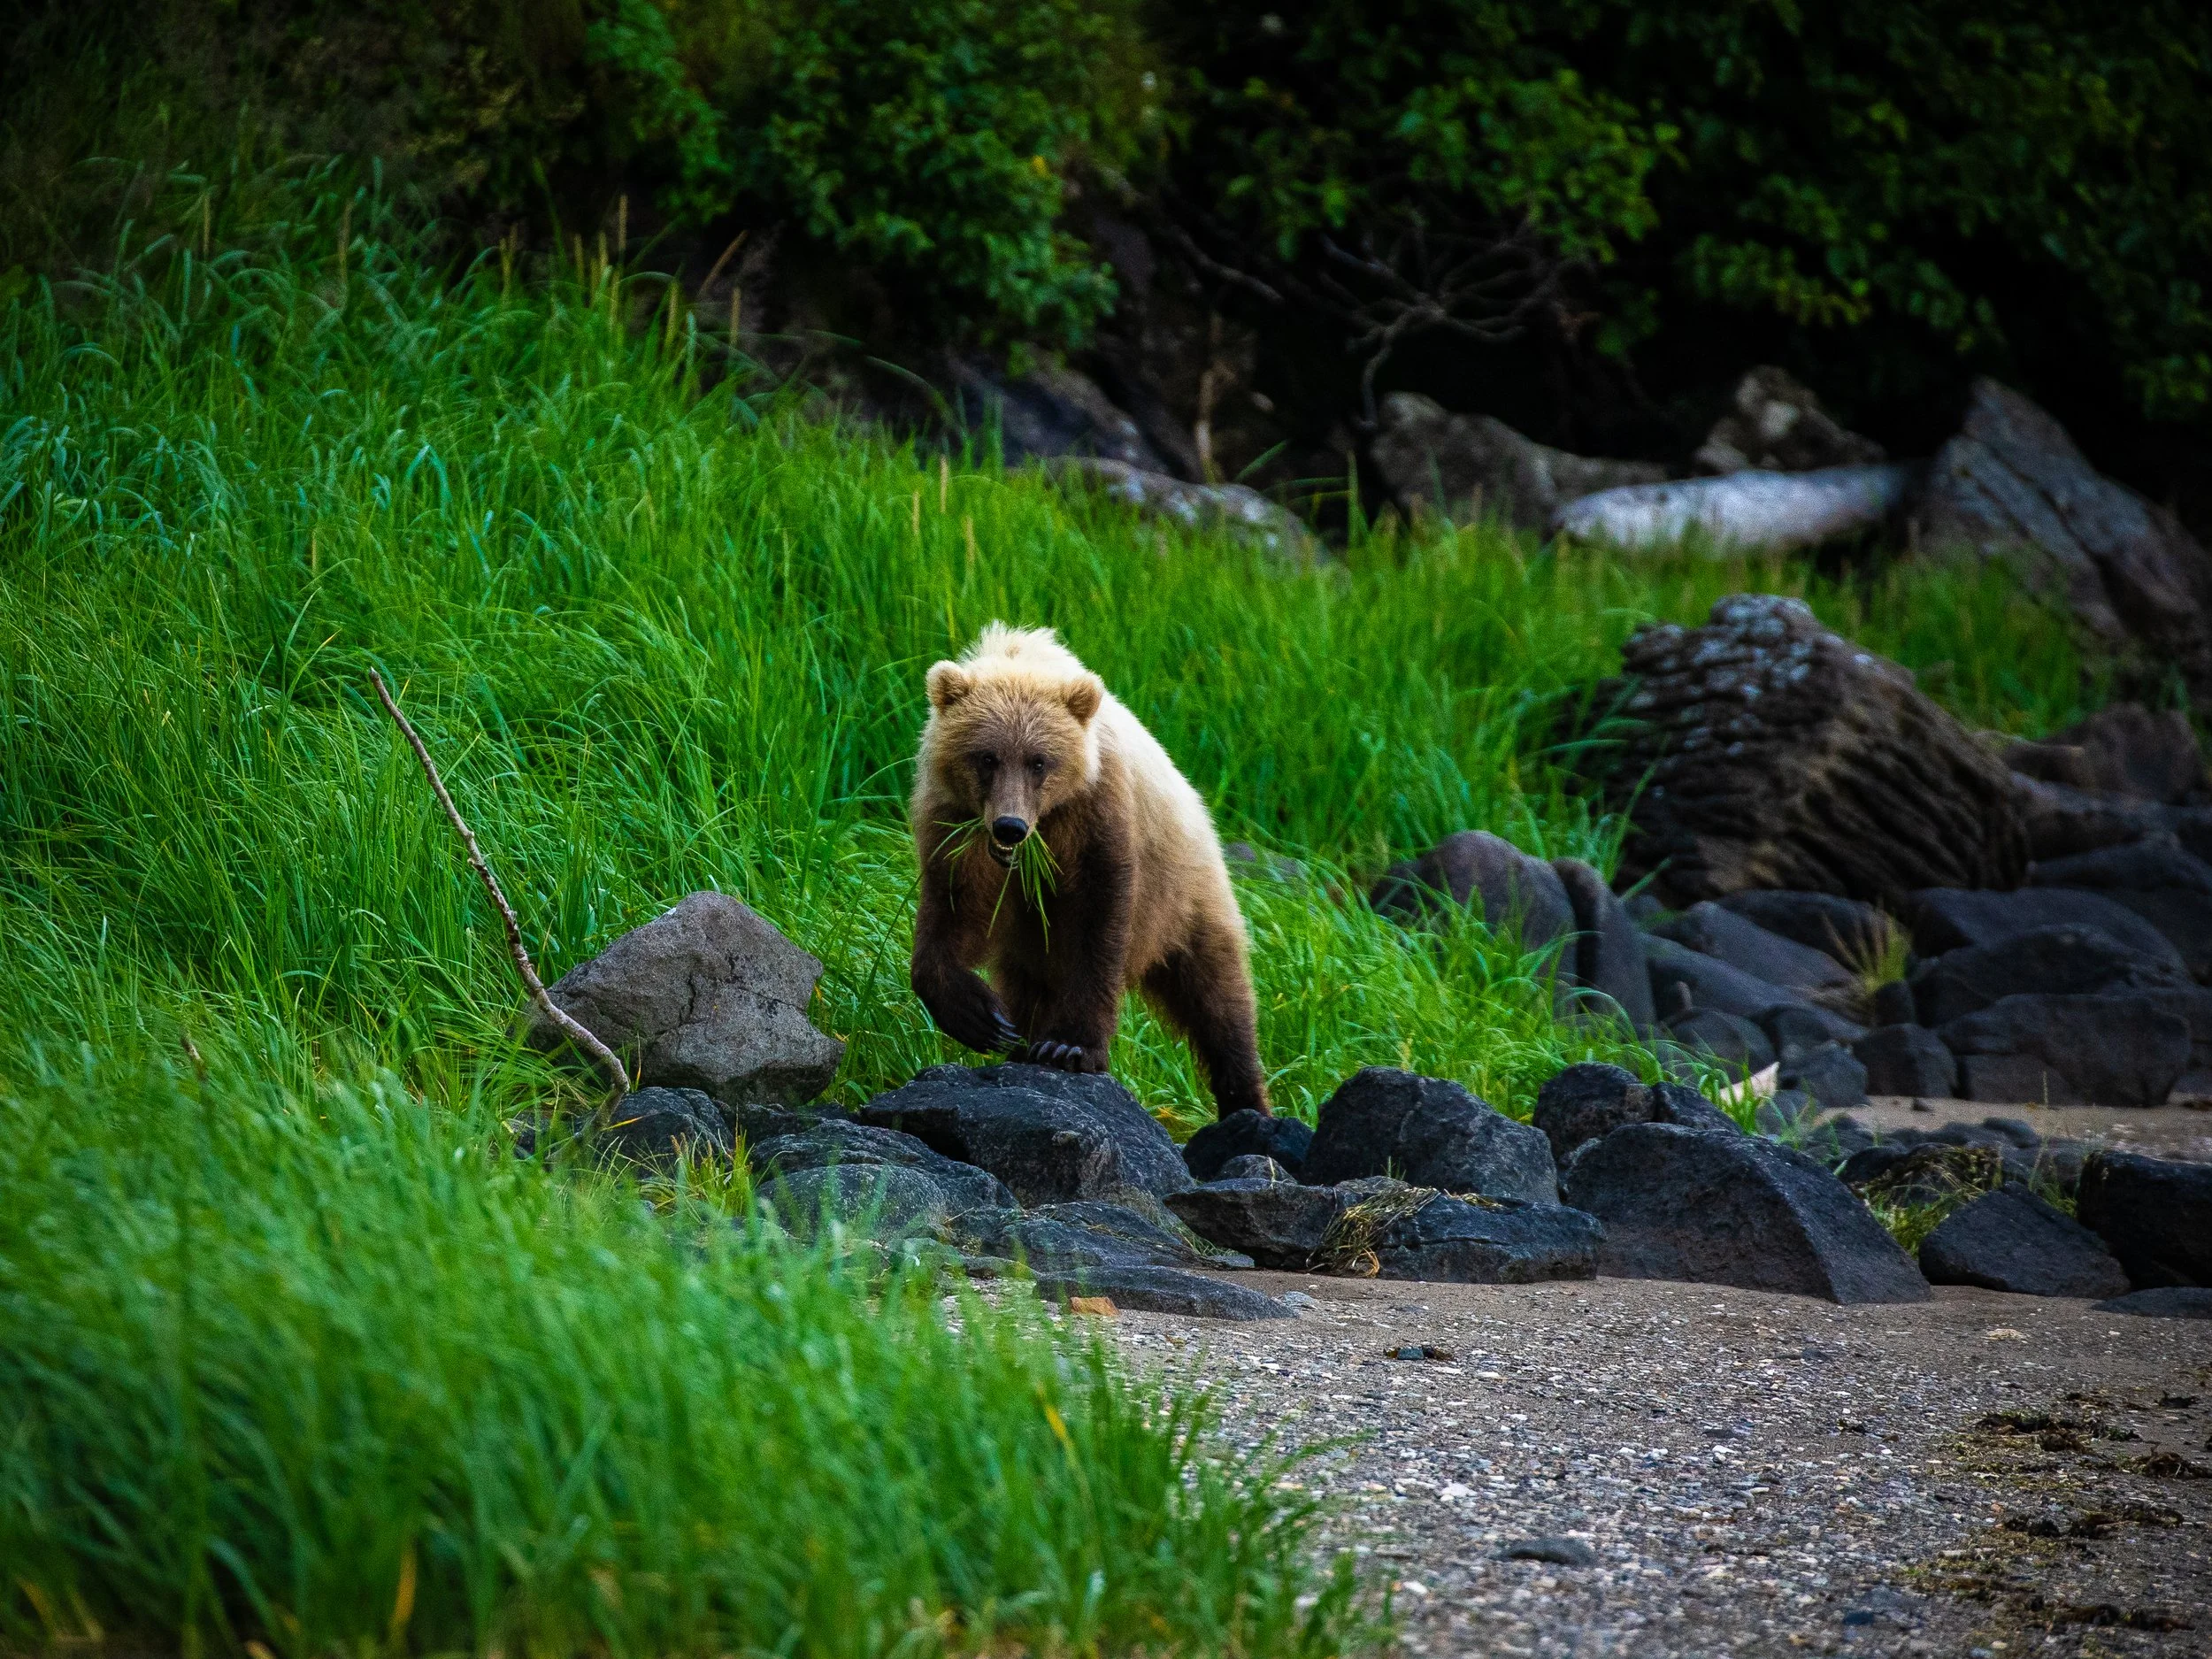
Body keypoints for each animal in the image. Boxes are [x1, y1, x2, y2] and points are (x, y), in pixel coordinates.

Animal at [908, 623, 1270, 1118]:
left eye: (1039, 761)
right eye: (986, 757)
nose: (1010, 827)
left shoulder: (1097, 818)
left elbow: (1097, 924)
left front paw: (1071, 1047)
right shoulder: (954, 827)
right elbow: (951, 911)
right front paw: (981, 1017)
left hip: (1187, 897)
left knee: (1218, 998)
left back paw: (1246, 1099)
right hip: (1030, 947)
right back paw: (1022, 1041)